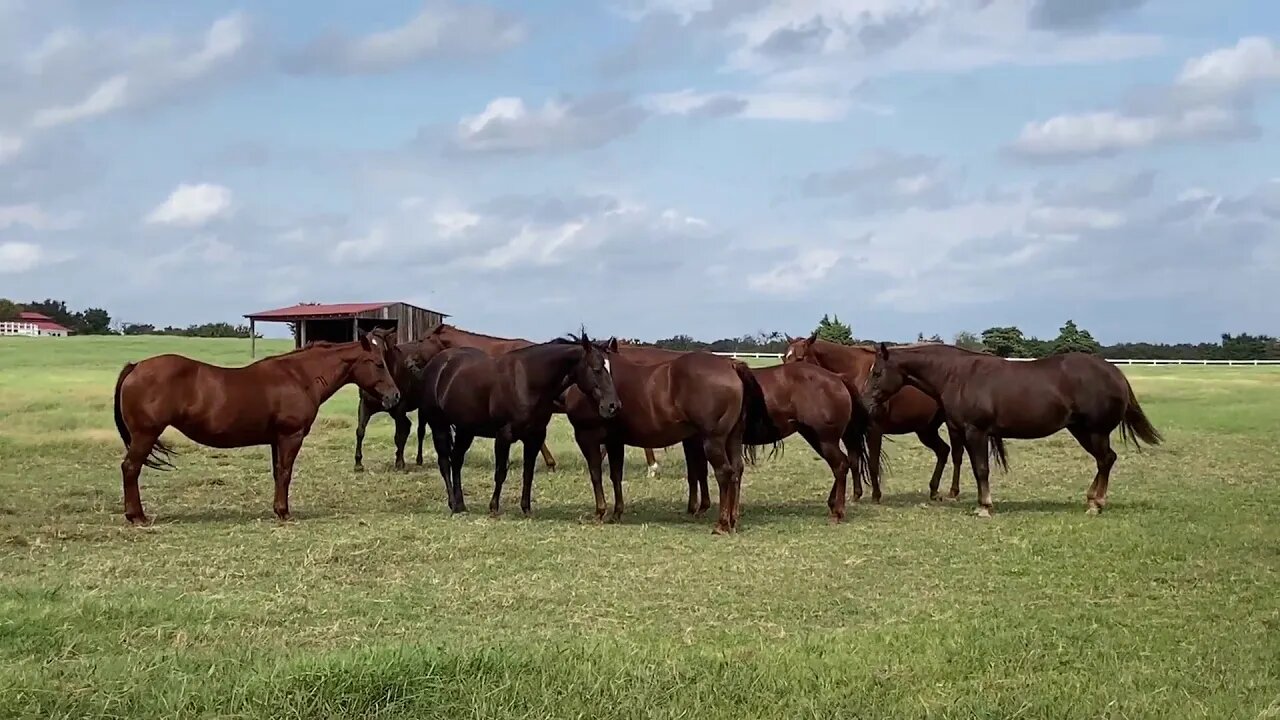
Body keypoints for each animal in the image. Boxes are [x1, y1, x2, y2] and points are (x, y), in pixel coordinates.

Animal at [119, 327, 404, 525]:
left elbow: (278, 473)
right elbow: (286, 473)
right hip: (145, 434)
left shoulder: (276, 439)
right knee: (130, 468)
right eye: (379, 363)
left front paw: (278, 510)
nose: (395, 396)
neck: (300, 377)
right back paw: (137, 516)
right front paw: (284, 513)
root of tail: (136, 367)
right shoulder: (291, 436)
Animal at [414, 330, 619, 515]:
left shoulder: (535, 437)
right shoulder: (503, 436)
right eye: (596, 369)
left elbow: (528, 473)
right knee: (444, 463)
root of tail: (437, 365)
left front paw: (526, 509)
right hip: (439, 426)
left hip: (466, 430)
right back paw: (453, 504)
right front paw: (494, 508)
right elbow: (500, 473)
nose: (613, 406)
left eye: (610, 369)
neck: (527, 381)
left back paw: (461, 504)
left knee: (456, 461)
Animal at [563, 348, 778, 532]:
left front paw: (600, 513)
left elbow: (596, 474)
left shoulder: (587, 437)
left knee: (724, 473)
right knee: (736, 471)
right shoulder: (615, 440)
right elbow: (616, 475)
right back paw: (732, 520)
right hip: (733, 438)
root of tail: (730, 364)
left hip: (714, 441)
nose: (612, 405)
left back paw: (722, 524)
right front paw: (616, 514)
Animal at [773, 335, 962, 499]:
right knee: (943, 451)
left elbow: (872, 463)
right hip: (926, 430)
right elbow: (854, 461)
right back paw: (934, 491)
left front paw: (876, 496)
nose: (783, 384)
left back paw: (953, 491)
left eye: (800, 358)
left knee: (956, 455)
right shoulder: (850, 433)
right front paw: (857, 495)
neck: (855, 375)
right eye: (784, 358)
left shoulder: (874, 430)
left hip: (951, 427)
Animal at [865, 340, 1167, 515]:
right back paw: (1093, 499)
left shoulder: (976, 431)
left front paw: (984, 507)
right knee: (1106, 460)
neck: (958, 375)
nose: (866, 402)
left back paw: (1096, 504)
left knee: (1105, 460)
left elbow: (981, 469)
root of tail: (1115, 372)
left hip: (1095, 431)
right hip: (1081, 431)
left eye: (877, 372)